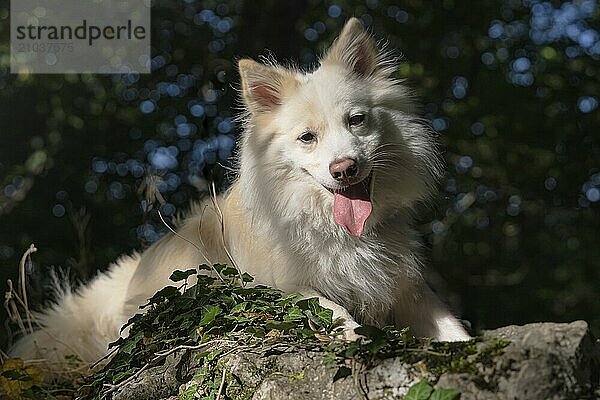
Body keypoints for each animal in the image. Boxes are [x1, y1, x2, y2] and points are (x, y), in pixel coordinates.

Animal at [7, 17, 472, 370]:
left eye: (356, 121)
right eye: (307, 138)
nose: (344, 168)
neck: (331, 226)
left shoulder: (409, 290)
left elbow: (453, 328)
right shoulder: (288, 287)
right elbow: (333, 310)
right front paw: (364, 339)